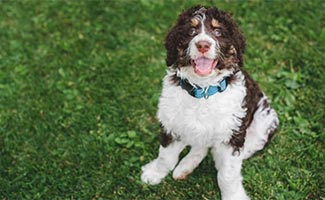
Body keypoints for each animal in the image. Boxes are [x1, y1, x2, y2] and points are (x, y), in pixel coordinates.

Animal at [140, 5, 278, 200]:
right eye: (191, 31)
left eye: (218, 31)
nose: (203, 45)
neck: (203, 90)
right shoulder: (171, 123)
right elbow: (165, 155)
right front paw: (155, 173)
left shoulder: (232, 134)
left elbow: (228, 173)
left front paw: (233, 196)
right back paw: (185, 166)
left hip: (263, 124)